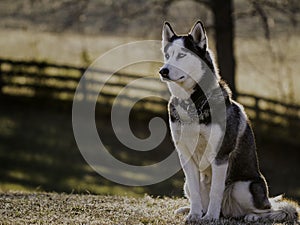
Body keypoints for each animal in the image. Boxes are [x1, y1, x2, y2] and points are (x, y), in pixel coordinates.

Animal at [158, 20, 298, 223]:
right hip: (187, 184)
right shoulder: (186, 156)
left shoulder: (220, 155)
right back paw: (192, 210)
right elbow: (196, 192)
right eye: (167, 56)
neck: (193, 103)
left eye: (182, 55)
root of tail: (227, 211)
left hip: (244, 187)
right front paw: (194, 215)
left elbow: (216, 191)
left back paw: (251, 216)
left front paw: (210, 218)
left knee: (272, 209)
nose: (163, 71)